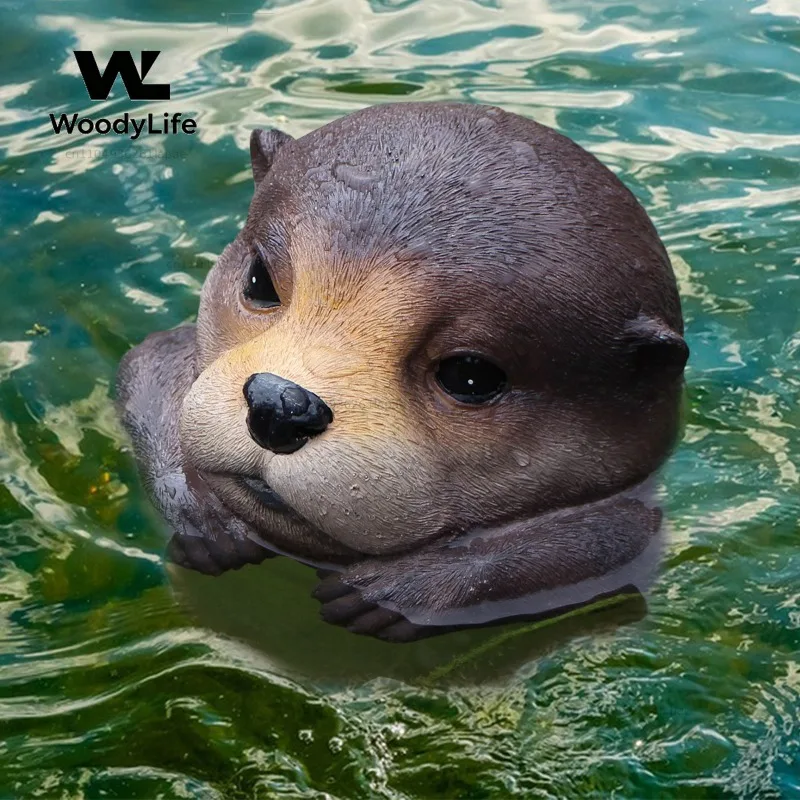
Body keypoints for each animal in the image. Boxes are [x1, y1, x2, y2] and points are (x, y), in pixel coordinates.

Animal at [116, 102, 688, 642]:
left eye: (471, 375)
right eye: (259, 280)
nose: (281, 404)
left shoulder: (631, 526)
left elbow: (608, 541)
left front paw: (403, 589)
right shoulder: (160, 357)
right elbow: (144, 375)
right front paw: (203, 509)